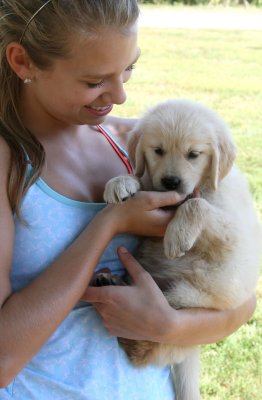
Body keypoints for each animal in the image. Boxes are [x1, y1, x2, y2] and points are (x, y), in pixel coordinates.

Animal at [102, 99, 260, 400]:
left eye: (193, 154)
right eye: (158, 150)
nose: (171, 182)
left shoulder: (236, 234)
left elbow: (196, 204)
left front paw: (177, 234)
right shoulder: (153, 185)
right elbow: (141, 177)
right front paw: (120, 182)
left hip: (184, 298)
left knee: (151, 344)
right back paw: (109, 280)